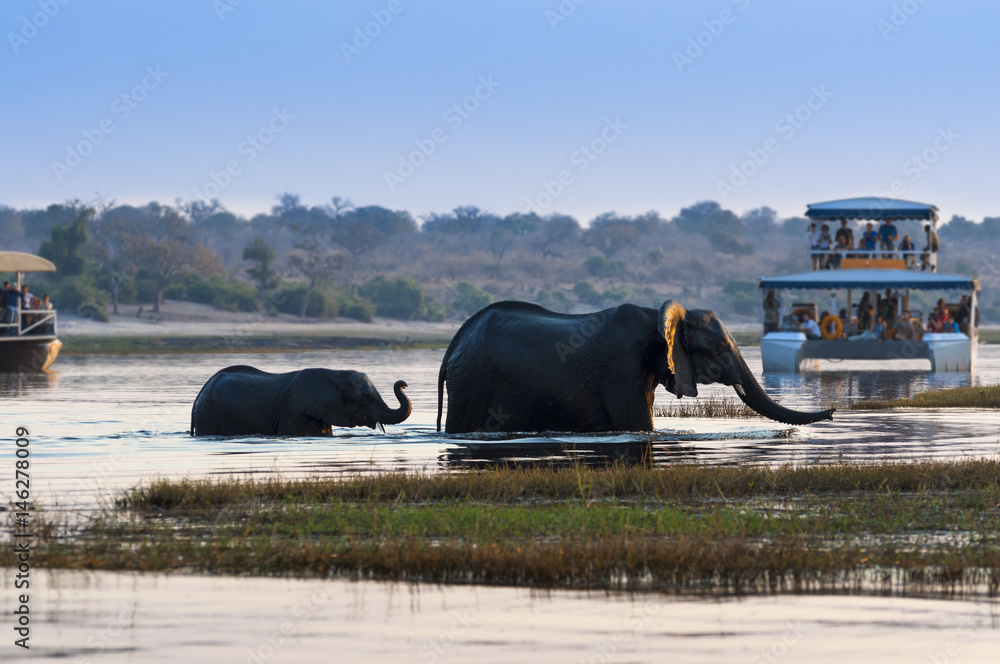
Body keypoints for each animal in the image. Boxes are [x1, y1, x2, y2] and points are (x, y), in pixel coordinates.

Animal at [436, 301, 834, 434]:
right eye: (721, 347)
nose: (832, 411)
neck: (658, 317)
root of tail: (454, 343)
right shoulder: (622, 369)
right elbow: (640, 426)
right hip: (473, 381)